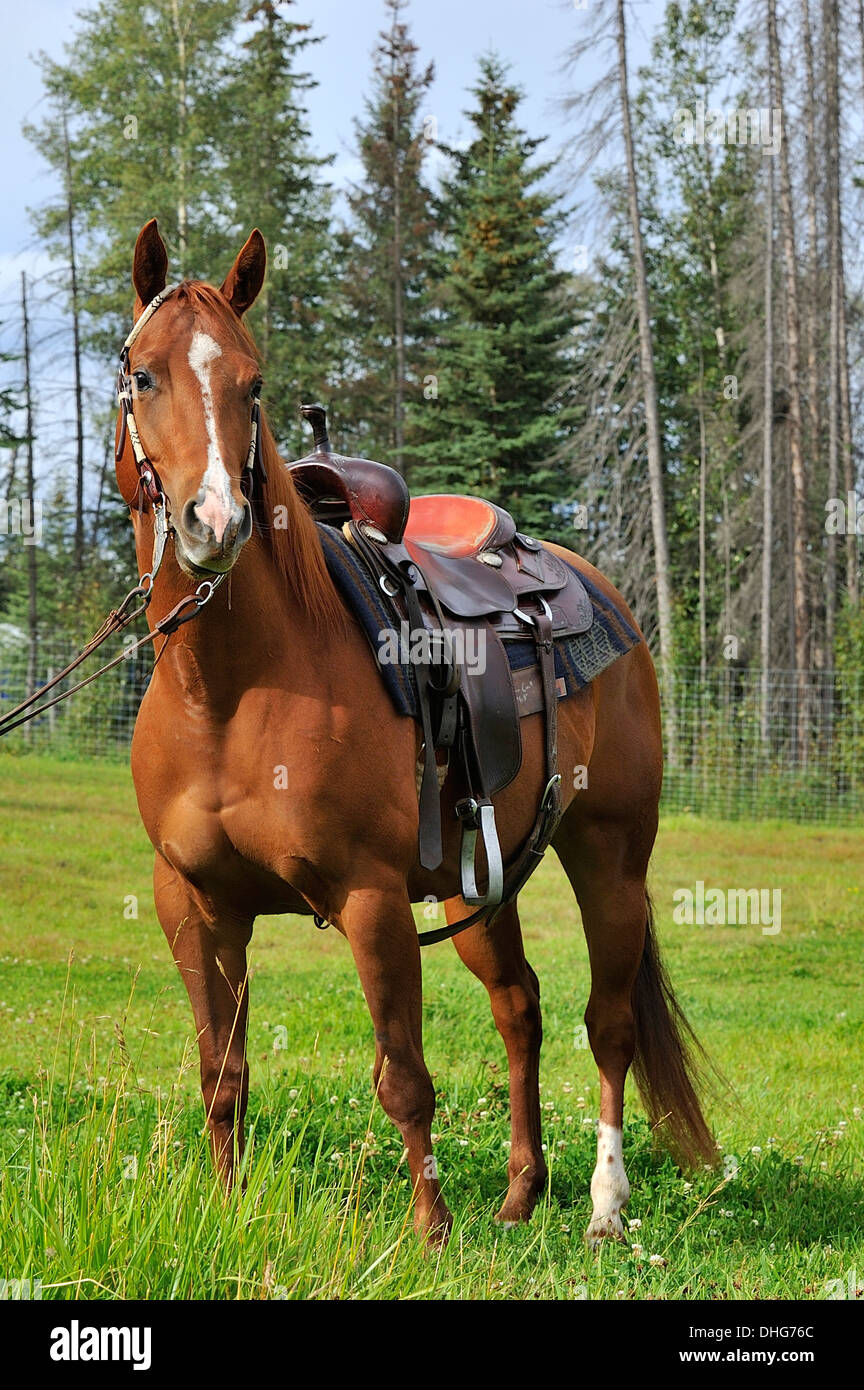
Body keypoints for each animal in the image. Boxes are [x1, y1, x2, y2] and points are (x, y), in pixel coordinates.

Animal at [115, 218, 715, 1245]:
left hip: (611, 858)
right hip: (481, 882)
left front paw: (430, 1233)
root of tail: (595, 589)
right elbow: (222, 1072)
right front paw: (226, 1213)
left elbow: (403, 1078)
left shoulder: (370, 899)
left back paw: (605, 1207)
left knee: (609, 1023)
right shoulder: (192, 902)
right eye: (144, 374)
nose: (215, 521)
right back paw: (520, 1194)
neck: (231, 692)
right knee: (520, 1006)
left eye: (254, 384)